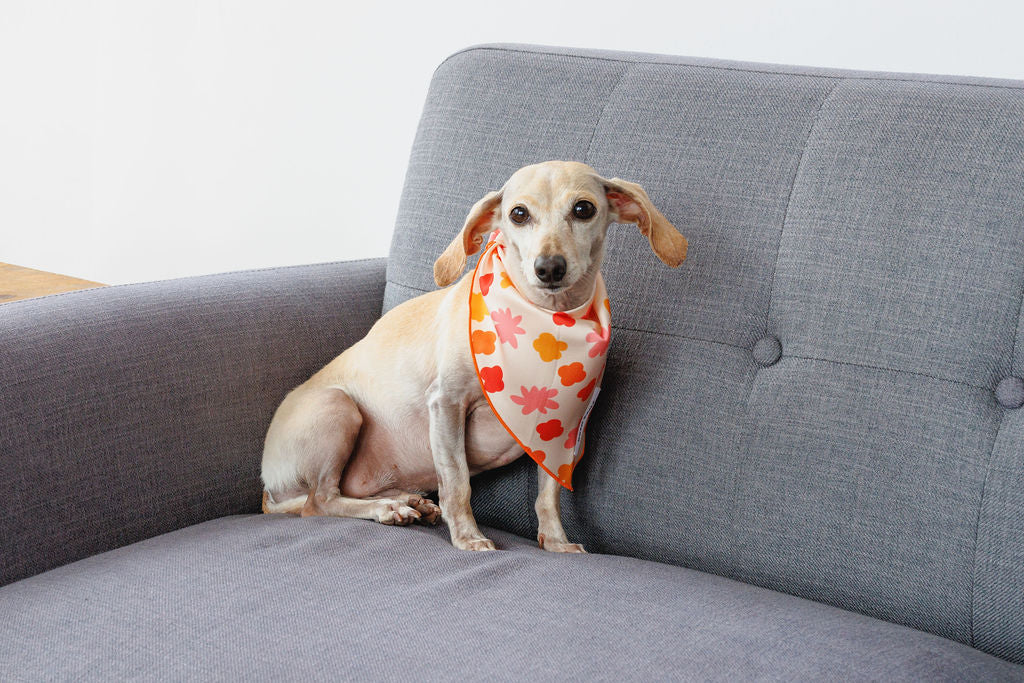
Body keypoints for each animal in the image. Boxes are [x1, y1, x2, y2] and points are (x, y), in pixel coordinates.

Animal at [260, 162, 688, 552]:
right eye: (518, 214)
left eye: (584, 209)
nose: (549, 268)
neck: (548, 323)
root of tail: (268, 486)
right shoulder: (446, 404)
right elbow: (457, 483)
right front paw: (468, 537)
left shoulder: (562, 433)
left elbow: (547, 496)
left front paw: (556, 542)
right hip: (338, 407)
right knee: (319, 501)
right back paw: (386, 509)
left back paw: (403, 500)